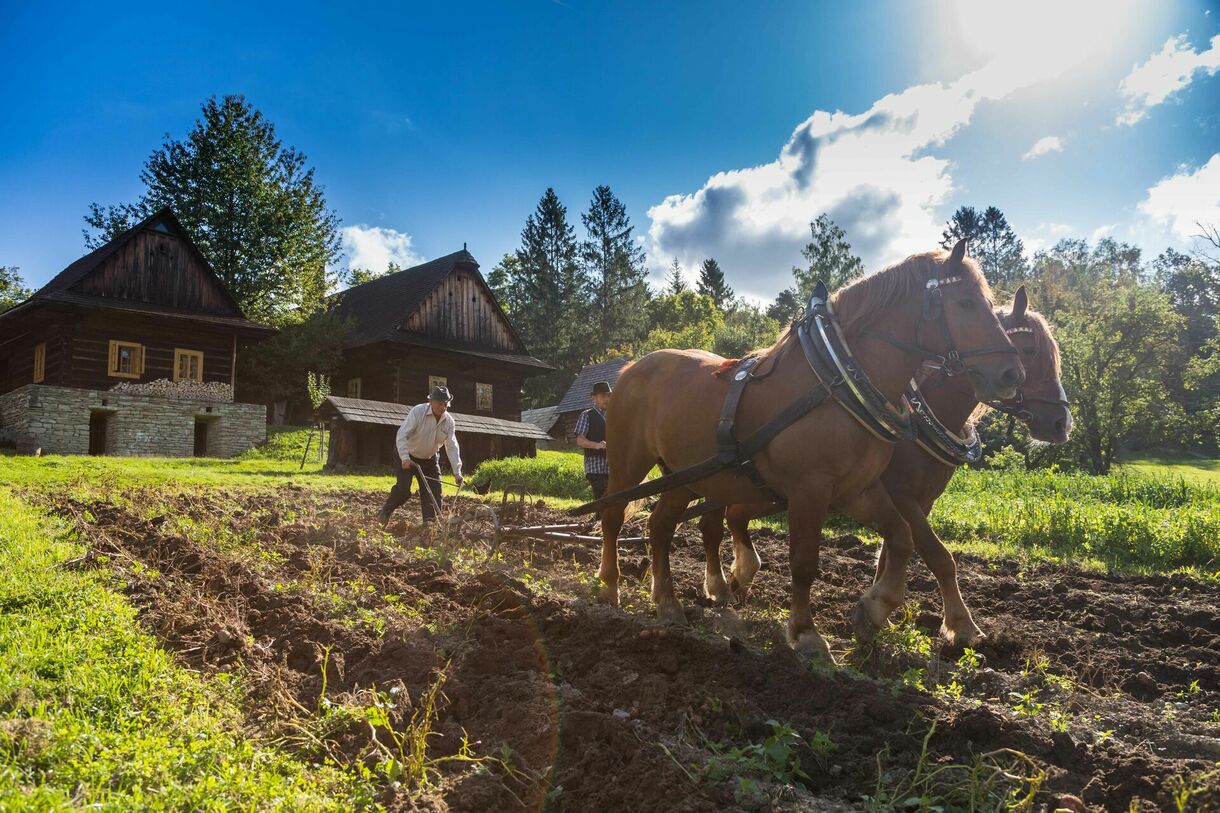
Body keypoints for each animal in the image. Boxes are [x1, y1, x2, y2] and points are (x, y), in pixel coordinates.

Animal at [605, 240, 1024, 659]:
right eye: (965, 303)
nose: (1012, 374)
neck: (837, 383)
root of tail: (630, 368)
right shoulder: (811, 490)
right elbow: (804, 562)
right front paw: (806, 633)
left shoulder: (859, 490)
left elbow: (902, 538)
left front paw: (873, 609)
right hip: (628, 462)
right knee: (614, 516)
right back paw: (610, 587)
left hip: (684, 476)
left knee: (660, 526)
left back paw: (668, 603)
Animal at [702, 284, 1073, 644]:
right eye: (1028, 350)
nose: (1061, 423)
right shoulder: (900, 495)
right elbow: (939, 556)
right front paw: (961, 625)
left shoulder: (917, 501)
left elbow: (890, 553)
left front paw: (875, 613)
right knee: (712, 525)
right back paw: (720, 586)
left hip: (771, 493)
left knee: (736, 515)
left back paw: (739, 579)